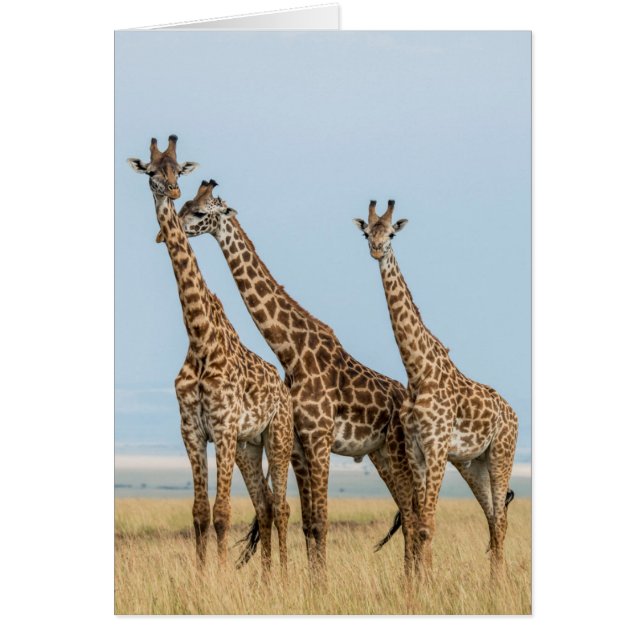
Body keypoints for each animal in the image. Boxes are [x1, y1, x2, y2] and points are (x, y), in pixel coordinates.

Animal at [126, 137, 293, 578]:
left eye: (177, 171)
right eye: (152, 171)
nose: (171, 192)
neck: (200, 338)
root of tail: (285, 389)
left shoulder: (223, 427)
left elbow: (222, 513)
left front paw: (219, 578)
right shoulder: (192, 431)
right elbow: (200, 513)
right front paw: (203, 578)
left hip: (278, 437)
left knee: (283, 506)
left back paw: (287, 576)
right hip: (250, 446)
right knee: (265, 505)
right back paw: (266, 580)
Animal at [178, 186, 418, 578]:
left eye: (200, 212)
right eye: (185, 205)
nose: (174, 227)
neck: (290, 350)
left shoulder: (319, 439)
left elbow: (321, 521)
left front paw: (320, 585)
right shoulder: (298, 446)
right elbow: (307, 522)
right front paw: (311, 582)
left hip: (399, 451)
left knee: (413, 514)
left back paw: (414, 581)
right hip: (379, 453)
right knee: (409, 513)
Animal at [353, 199, 518, 579]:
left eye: (392, 233)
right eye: (367, 233)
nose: (376, 249)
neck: (418, 372)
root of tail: (514, 413)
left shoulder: (437, 445)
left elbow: (427, 524)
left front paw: (427, 583)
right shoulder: (416, 448)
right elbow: (420, 522)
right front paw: (419, 581)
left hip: (502, 454)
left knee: (501, 519)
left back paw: (498, 583)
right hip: (474, 464)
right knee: (493, 518)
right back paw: (493, 583)